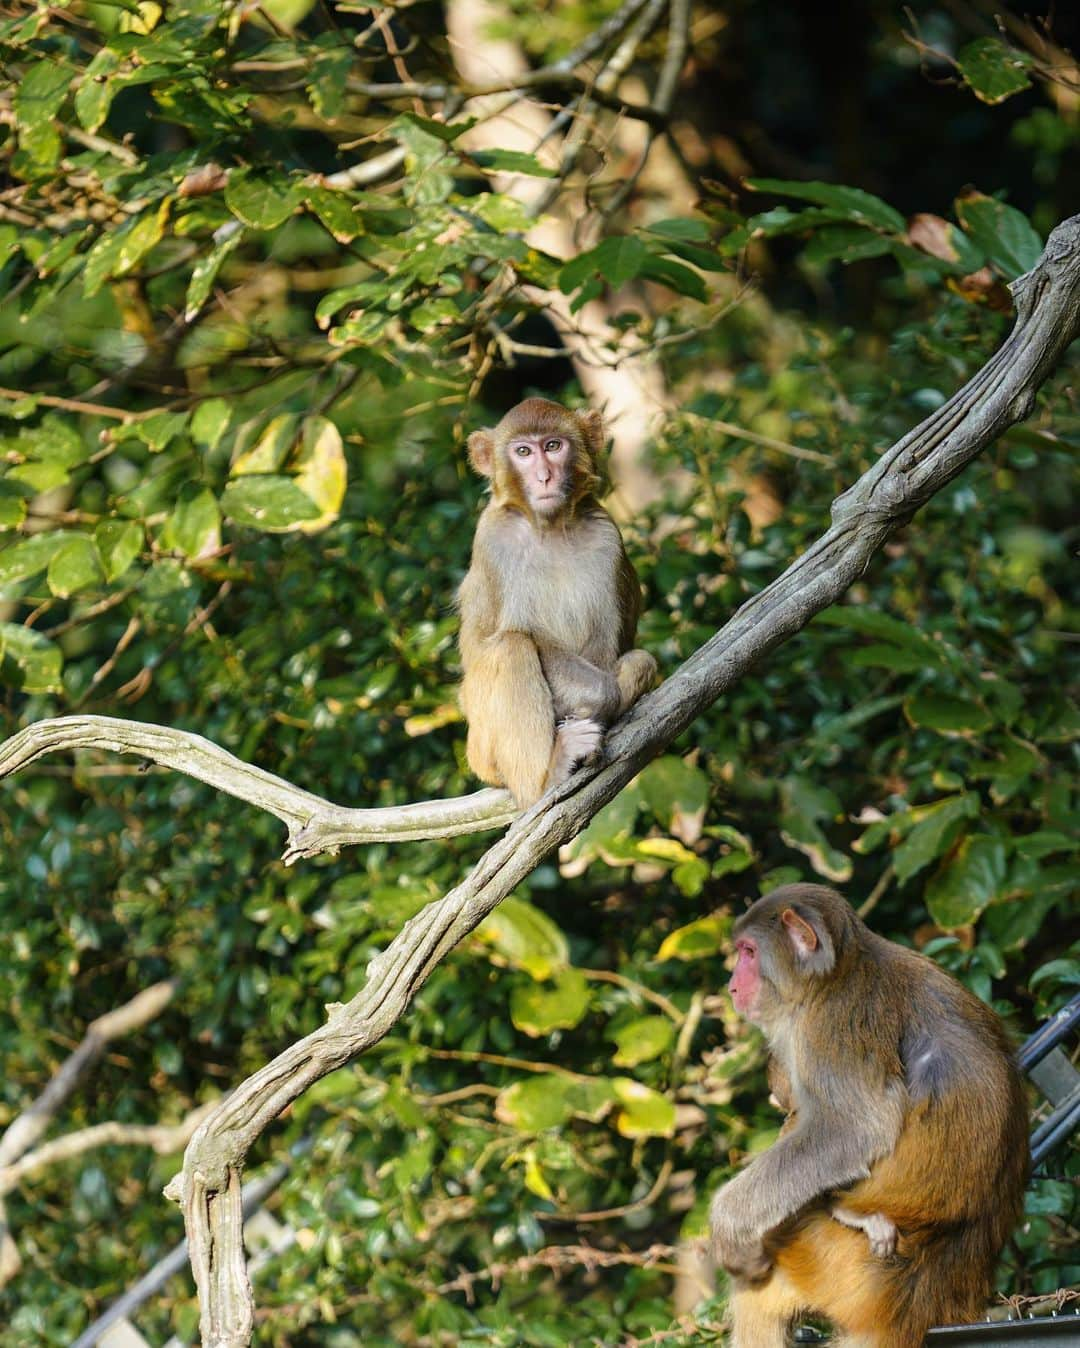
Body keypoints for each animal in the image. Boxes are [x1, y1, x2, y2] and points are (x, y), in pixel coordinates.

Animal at [453, 393, 649, 803]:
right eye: (523, 452)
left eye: (554, 446)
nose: (544, 476)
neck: (552, 527)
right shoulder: (494, 541)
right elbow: (501, 640)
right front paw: (599, 698)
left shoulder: (607, 538)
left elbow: (609, 645)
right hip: (481, 749)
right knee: (510, 647)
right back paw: (547, 778)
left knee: (641, 660)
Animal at [706, 884, 1030, 1348]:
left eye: (747, 952)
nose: (732, 985)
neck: (836, 973)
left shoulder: (832, 1023)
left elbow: (855, 1128)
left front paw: (728, 1228)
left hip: (831, 1263)